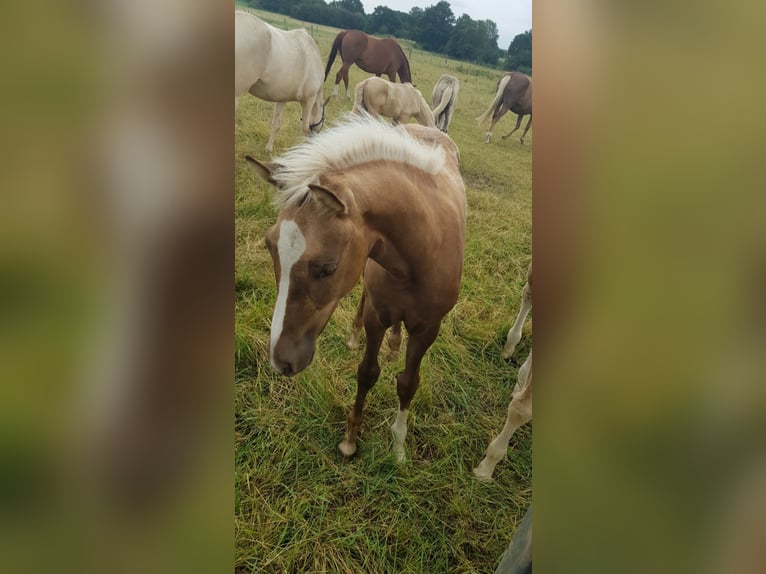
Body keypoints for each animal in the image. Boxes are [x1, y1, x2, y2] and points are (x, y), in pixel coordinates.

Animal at [234, 10, 330, 153]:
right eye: (323, 118)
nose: (315, 140)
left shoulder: (281, 99)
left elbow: (276, 124)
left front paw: (269, 149)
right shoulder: (309, 100)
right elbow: (304, 128)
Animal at [249, 115, 468, 462]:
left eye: (327, 268)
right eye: (270, 246)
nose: (281, 361)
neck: (424, 249)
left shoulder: (428, 328)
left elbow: (408, 382)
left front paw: (398, 448)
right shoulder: (377, 316)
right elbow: (367, 372)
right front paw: (350, 440)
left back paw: (394, 346)